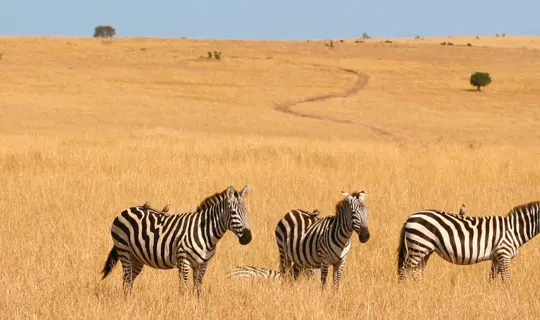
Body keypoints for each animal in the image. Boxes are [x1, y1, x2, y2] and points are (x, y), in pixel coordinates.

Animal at [100, 186, 252, 296]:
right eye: (233, 212)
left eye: (246, 211)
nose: (248, 237)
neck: (205, 232)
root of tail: (126, 210)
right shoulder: (184, 262)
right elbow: (183, 289)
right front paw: (184, 307)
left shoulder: (202, 265)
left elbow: (197, 289)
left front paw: (196, 307)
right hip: (124, 251)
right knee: (126, 279)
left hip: (136, 257)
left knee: (129, 280)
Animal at [228, 190, 372, 288]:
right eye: (353, 213)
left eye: (367, 212)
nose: (366, 236)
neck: (343, 238)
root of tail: (292, 211)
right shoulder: (324, 260)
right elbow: (324, 283)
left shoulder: (340, 262)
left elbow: (336, 283)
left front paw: (334, 299)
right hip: (283, 252)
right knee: (285, 274)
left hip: (298, 256)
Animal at [396, 201, 540, 282]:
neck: (513, 229)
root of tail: (410, 217)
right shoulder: (503, 253)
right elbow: (507, 279)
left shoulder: (496, 257)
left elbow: (492, 278)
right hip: (418, 247)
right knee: (405, 271)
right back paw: (408, 292)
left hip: (425, 250)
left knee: (416, 271)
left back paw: (421, 289)